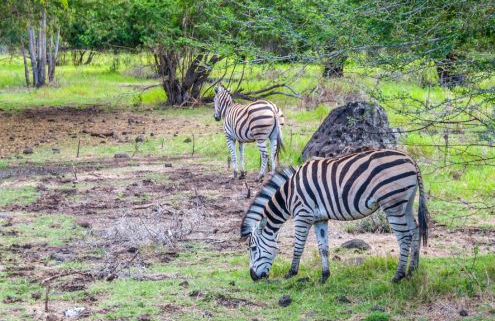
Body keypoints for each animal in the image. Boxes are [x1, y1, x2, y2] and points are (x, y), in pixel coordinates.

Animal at [241, 149, 430, 282]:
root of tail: (410, 160)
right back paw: (412, 271)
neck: (289, 195)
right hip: (406, 203)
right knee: (415, 231)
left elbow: (298, 247)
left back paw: (398, 276)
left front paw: (291, 273)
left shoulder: (302, 215)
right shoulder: (319, 219)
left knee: (404, 237)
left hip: (392, 204)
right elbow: (323, 248)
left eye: (253, 248)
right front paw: (324, 276)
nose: (253, 277)